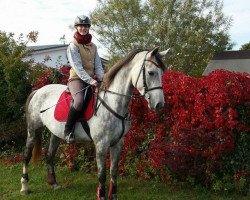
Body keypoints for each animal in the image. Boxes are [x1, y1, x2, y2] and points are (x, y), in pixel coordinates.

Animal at [20, 47, 171, 200]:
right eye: (151, 72)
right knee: (26, 155)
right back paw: (24, 186)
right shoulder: (101, 145)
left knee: (50, 155)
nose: (159, 104)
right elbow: (102, 174)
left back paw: (54, 183)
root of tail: (38, 91)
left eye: (161, 73)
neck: (112, 102)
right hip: (33, 130)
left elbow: (113, 171)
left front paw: (113, 195)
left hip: (55, 133)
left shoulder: (118, 143)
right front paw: (101, 195)